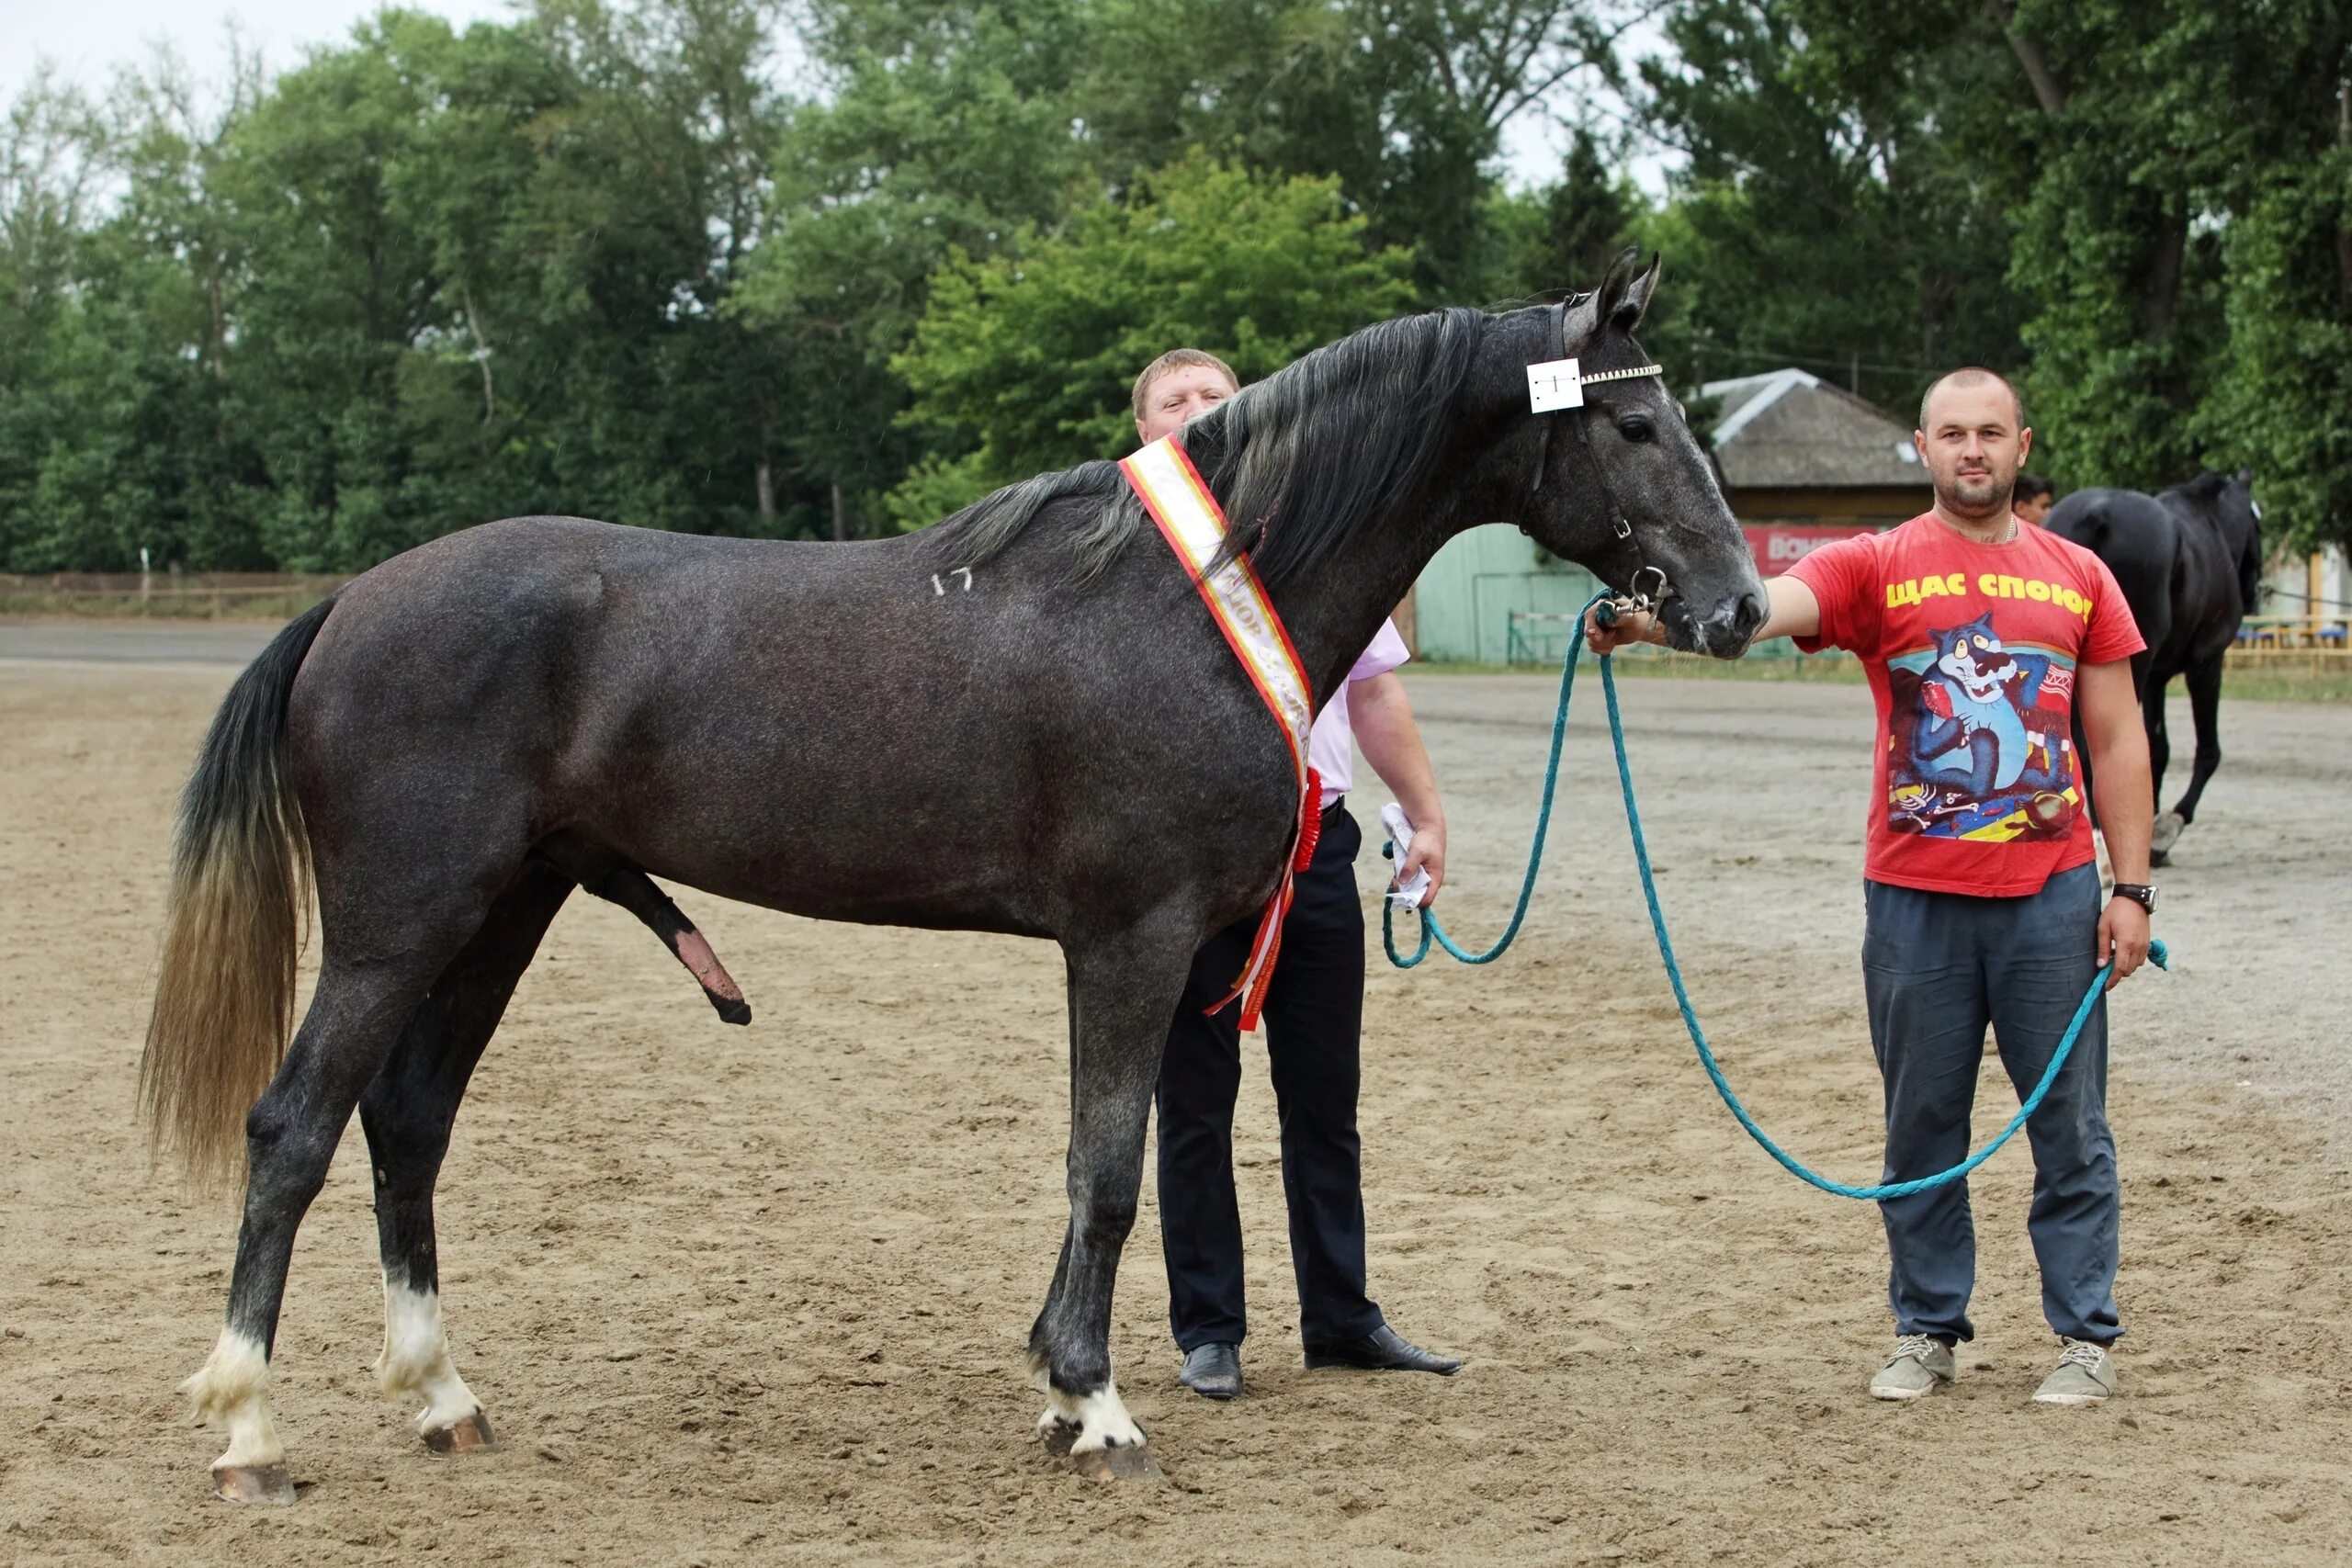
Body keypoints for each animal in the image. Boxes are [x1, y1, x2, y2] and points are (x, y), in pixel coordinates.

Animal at [141, 251, 1769, 1504]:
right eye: (1634, 423)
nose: (1741, 604)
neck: (1176, 601)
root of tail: (353, 601)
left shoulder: (1134, 951)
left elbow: (1095, 1161)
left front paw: (1058, 1382)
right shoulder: (1132, 940)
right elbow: (1110, 1170)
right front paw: (1098, 1407)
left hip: (501, 912)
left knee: (407, 1125)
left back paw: (442, 1396)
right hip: (399, 926)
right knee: (295, 1127)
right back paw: (249, 1430)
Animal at [2041, 472, 2257, 864]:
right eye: (2256, 524)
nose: (2254, 591)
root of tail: (2098, 514)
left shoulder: (2158, 676)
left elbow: (2155, 749)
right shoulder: (2206, 664)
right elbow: (2208, 751)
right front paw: (2167, 829)